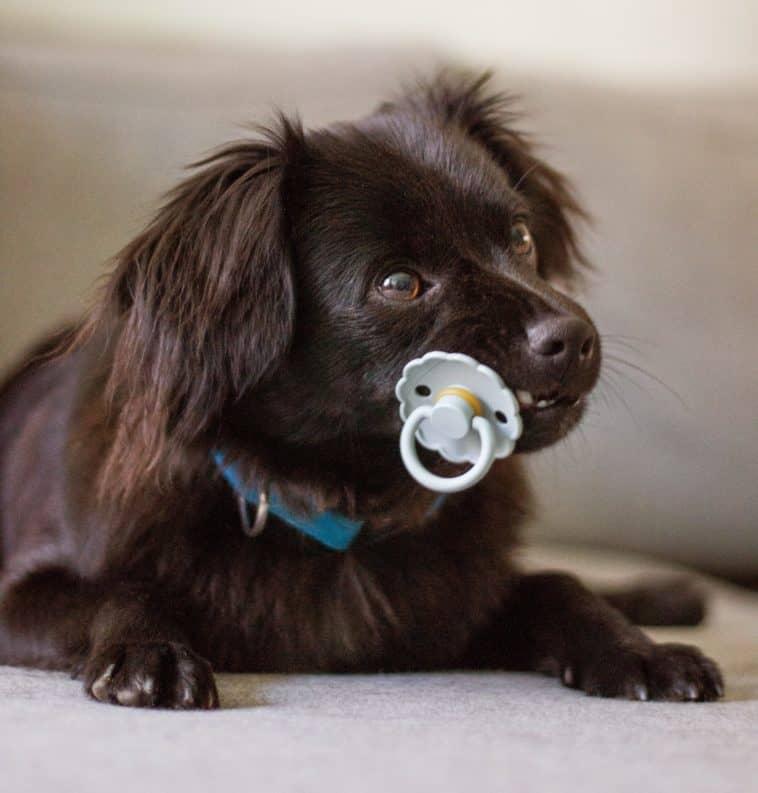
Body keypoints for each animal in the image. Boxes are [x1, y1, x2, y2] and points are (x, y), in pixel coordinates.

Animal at [0, 72, 724, 704]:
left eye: (520, 237)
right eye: (398, 283)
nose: (573, 337)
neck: (351, 499)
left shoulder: (457, 603)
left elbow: (557, 583)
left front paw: (640, 651)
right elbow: (118, 591)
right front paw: (151, 651)